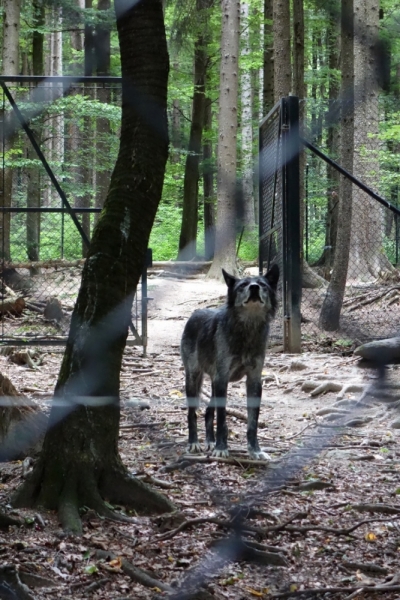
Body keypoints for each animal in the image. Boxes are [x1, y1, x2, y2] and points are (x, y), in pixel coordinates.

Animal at [180, 266, 278, 460]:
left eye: (262, 284)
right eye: (242, 285)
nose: (254, 287)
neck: (247, 332)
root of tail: (195, 313)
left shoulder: (253, 381)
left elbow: (252, 423)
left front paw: (255, 450)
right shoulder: (222, 379)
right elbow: (222, 418)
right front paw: (221, 448)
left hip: (214, 384)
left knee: (208, 411)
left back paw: (209, 442)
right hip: (194, 380)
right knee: (192, 413)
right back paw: (194, 443)